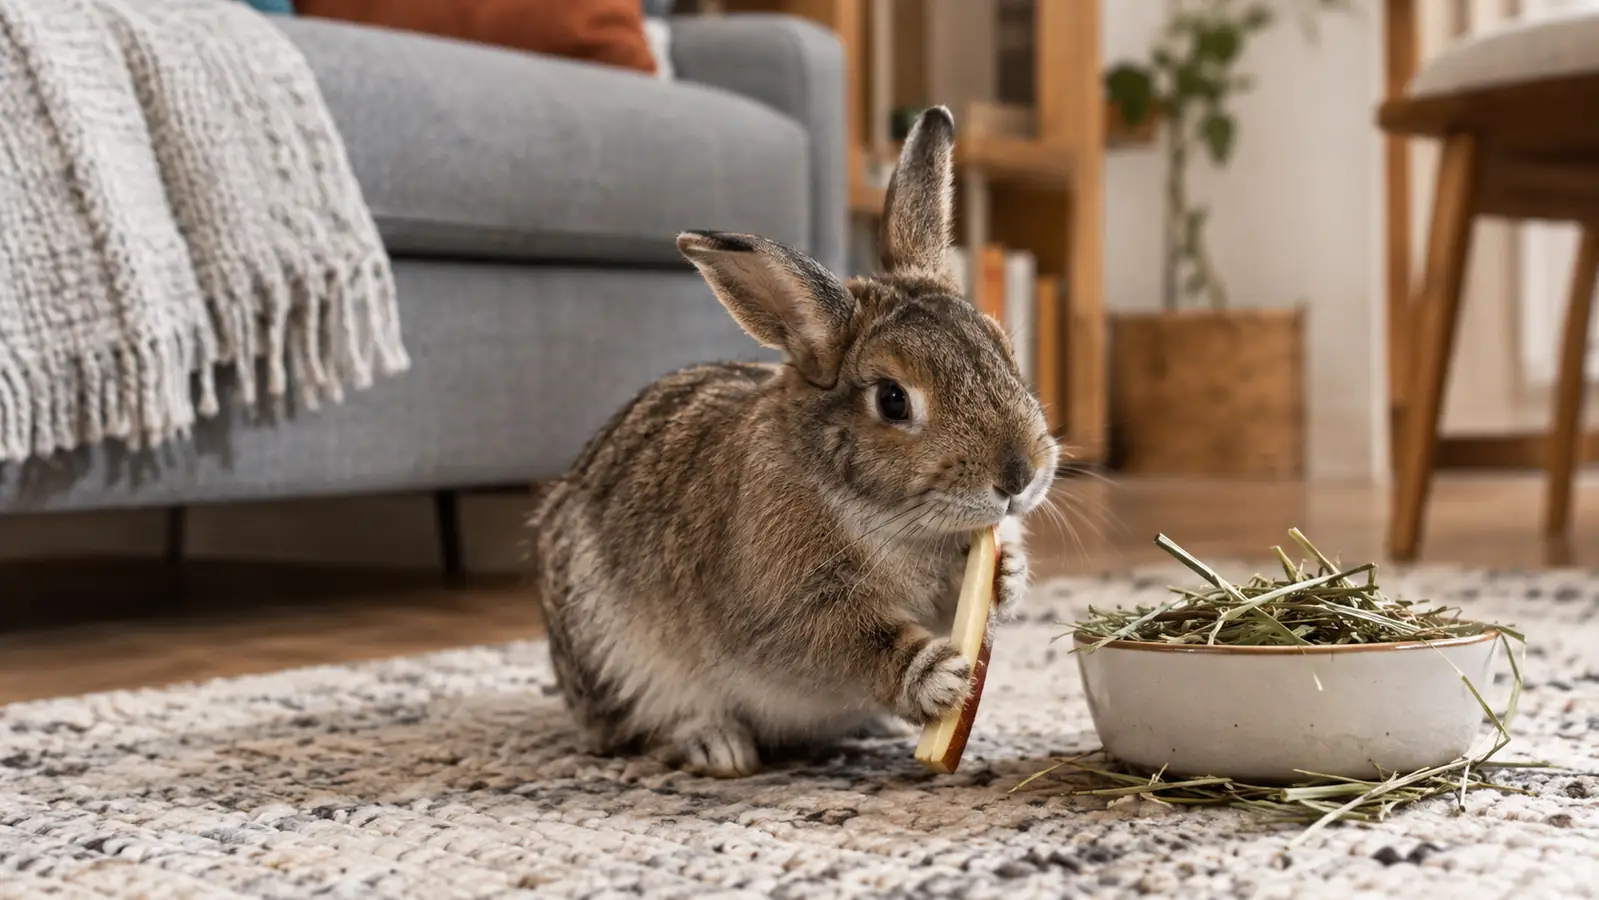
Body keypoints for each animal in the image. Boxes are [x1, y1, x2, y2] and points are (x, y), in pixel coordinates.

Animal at [529, 106, 1059, 778]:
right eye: (892, 400)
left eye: (1003, 350)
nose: (1019, 475)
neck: (875, 508)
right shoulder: (789, 607)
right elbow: (845, 641)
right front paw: (935, 677)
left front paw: (1009, 572)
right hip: (612, 657)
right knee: (636, 727)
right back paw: (716, 747)